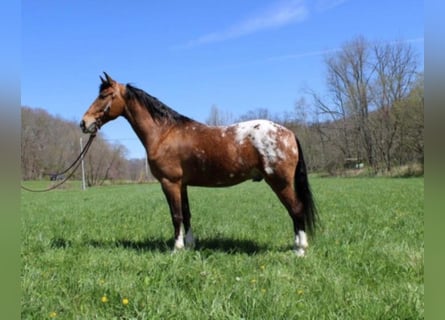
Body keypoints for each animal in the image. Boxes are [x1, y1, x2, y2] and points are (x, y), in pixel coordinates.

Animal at [80, 72, 316, 255]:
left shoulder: (170, 183)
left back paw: (300, 250)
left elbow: (176, 216)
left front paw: (176, 249)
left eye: (103, 96)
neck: (164, 133)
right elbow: (186, 214)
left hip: (280, 183)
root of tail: (289, 133)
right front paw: (190, 245)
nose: (84, 123)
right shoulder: (182, 184)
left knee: (296, 209)